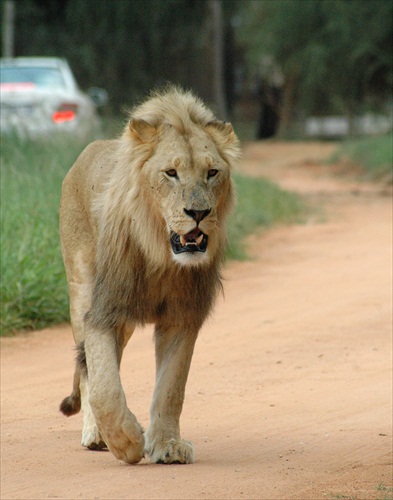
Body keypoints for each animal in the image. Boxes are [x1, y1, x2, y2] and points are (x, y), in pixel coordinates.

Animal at [59, 86, 240, 464]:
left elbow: (172, 387)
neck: (162, 257)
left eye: (212, 173)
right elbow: (104, 386)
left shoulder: (183, 317)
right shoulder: (104, 310)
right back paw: (95, 434)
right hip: (81, 290)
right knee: (87, 370)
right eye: (171, 173)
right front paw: (126, 441)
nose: (199, 212)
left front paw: (168, 445)